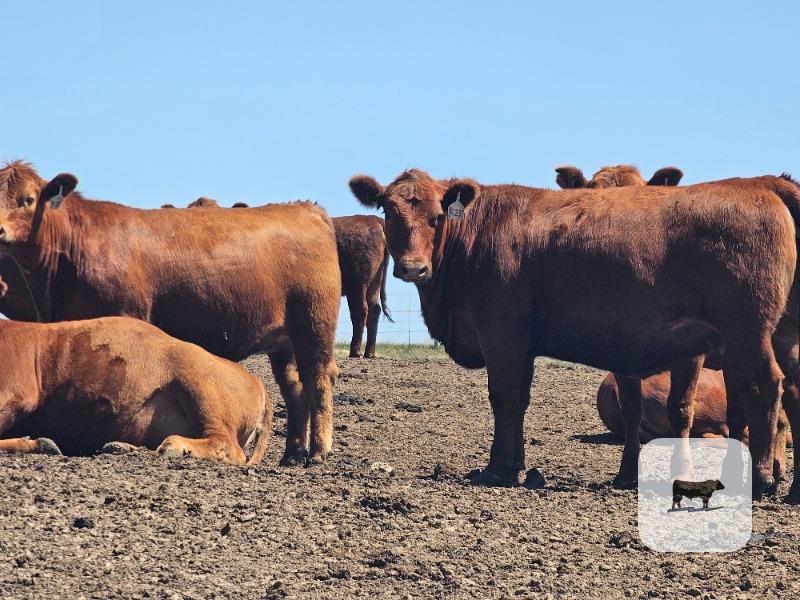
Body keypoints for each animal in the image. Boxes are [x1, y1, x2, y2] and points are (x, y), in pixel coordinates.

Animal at [333, 216, 393, 358]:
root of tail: (374, 220)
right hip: (375, 282)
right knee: (374, 309)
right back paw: (369, 352)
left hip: (357, 284)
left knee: (360, 310)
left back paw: (355, 351)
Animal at [349, 168, 798, 498]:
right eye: (390, 212)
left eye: (437, 216)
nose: (413, 268)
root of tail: (760, 183)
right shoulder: (523, 342)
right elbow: (520, 401)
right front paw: (517, 464)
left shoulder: (501, 333)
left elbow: (504, 398)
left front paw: (497, 468)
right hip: (781, 335)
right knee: (790, 391)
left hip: (748, 333)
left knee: (764, 388)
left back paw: (759, 479)